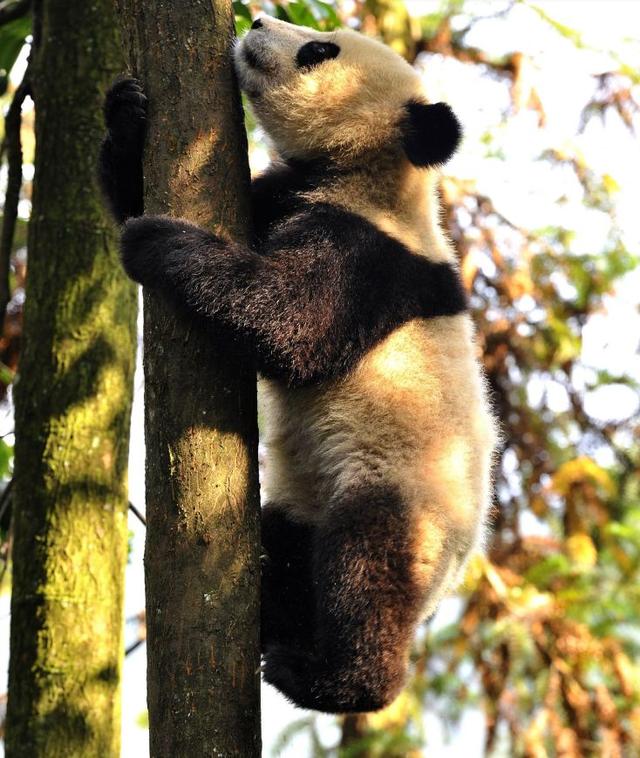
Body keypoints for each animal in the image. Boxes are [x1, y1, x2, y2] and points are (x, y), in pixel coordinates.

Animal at [100, 17, 500, 720]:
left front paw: (159, 241)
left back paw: (326, 679)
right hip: (307, 508)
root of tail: (451, 575)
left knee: (366, 567)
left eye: (320, 50)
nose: (257, 22)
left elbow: (289, 325)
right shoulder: (279, 196)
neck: (373, 175)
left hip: (406, 488)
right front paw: (127, 113)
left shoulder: (368, 257)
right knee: (290, 550)